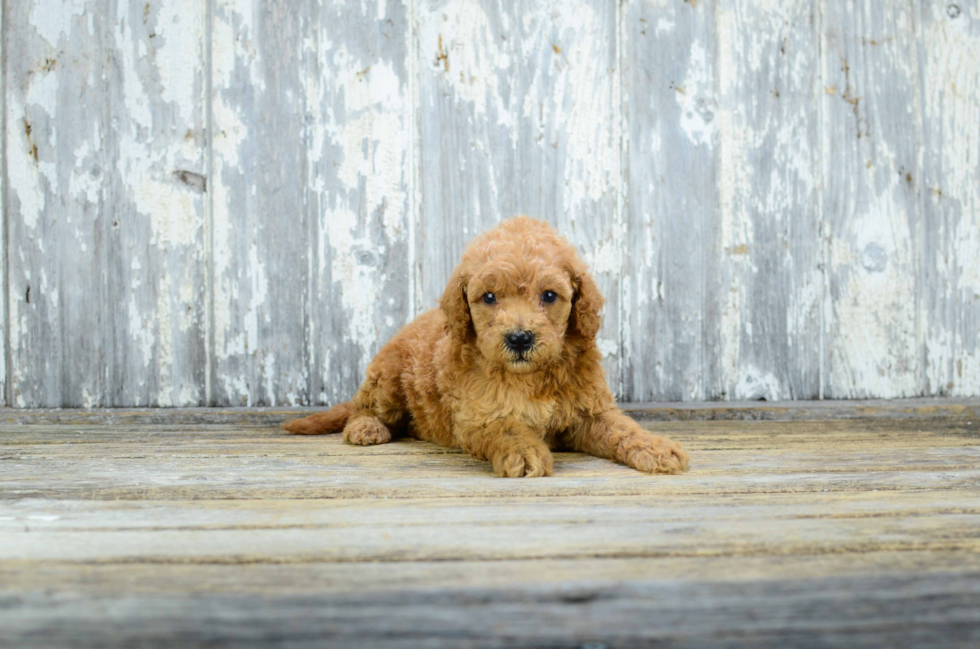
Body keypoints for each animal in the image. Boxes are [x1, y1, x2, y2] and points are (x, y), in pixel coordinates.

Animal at [282, 218, 688, 476]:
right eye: (489, 297)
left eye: (550, 295)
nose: (520, 338)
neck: (528, 377)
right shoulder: (478, 416)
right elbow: (508, 428)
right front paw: (525, 452)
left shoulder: (590, 412)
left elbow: (623, 428)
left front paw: (657, 448)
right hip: (388, 378)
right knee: (363, 407)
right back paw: (366, 428)